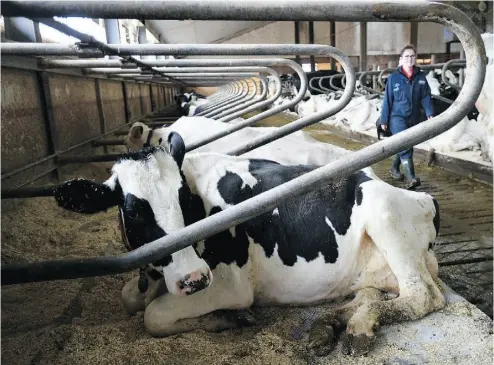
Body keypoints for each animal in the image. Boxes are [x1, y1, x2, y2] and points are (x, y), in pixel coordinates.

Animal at [54, 132, 444, 356]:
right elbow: (130, 298)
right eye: (134, 210)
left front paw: (223, 318)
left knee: (422, 297)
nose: (193, 279)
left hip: (386, 217)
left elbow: (153, 315)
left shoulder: (230, 283)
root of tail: (424, 198)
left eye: (185, 199)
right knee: (371, 294)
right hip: (371, 270)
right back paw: (338, 327)